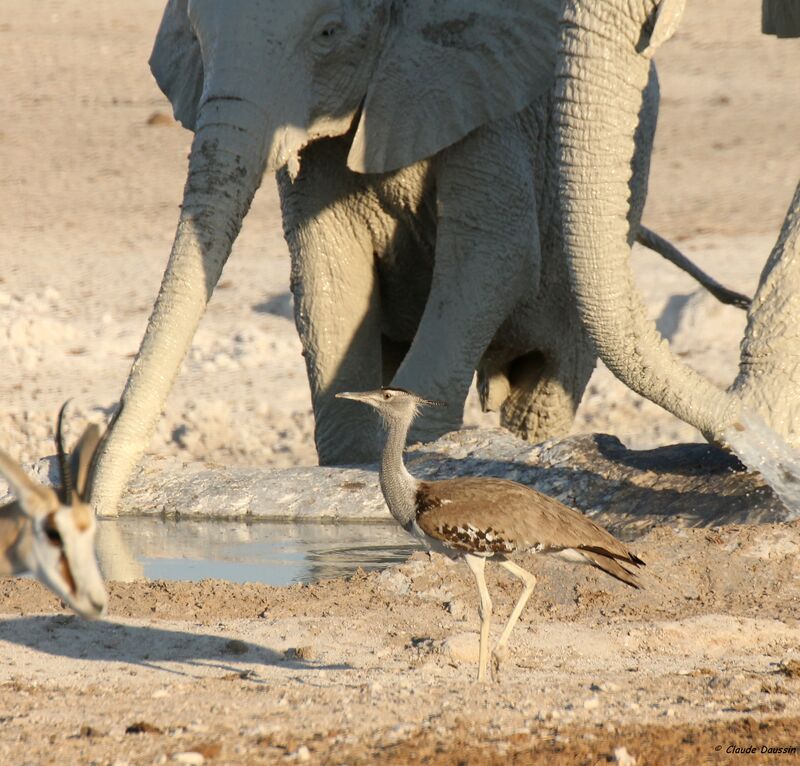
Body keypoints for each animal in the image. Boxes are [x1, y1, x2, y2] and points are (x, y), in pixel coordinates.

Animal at [84, 0, 740, 520]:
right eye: (197, 40)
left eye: (329, 33)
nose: (102, 511)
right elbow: (327, 271)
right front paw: (353, 463)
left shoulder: (486, 97)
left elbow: (491, 254)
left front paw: (422, 454)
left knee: (546, 375)